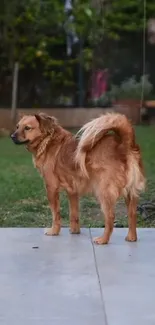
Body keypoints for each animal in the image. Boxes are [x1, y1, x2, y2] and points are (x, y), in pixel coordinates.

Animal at [10, 111, 145, 243]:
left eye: (27, 128)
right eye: (17, 127)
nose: (12, 136)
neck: (48, 140)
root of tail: (123, 144)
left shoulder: (51, 188)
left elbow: (56, 214)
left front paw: (54, 231)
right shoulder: (72, 191)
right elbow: (74, 214)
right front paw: (74, 231)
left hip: (103, 192)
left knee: (110, 217)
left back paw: (103, 240)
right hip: (131, 193)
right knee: (132, 214)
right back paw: (132, 237)